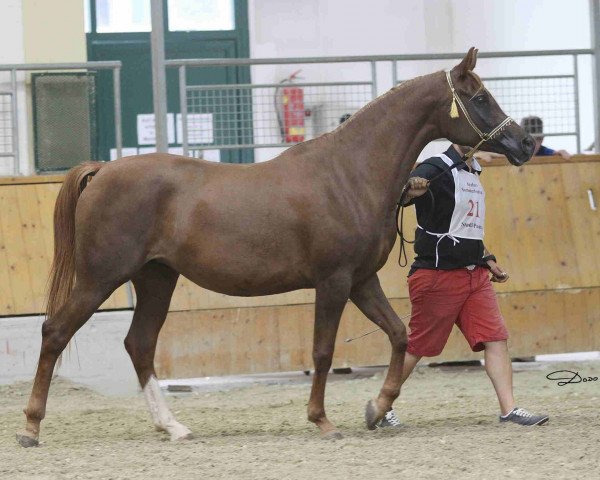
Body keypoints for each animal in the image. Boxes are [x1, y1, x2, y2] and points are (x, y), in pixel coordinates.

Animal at [16, 47, 532, 446]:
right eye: (480, 96)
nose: (525, 142)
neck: (349, 172)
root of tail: (103, 169)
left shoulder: (361, 281)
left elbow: (400, 334)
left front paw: (376, 407)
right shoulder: (334, 281)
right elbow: (323, 350)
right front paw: (322, 421)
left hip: (156, 278)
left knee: (139, 344)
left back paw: (174, 427)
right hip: (101, 276)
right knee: (55, 332)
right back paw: (31, 428)